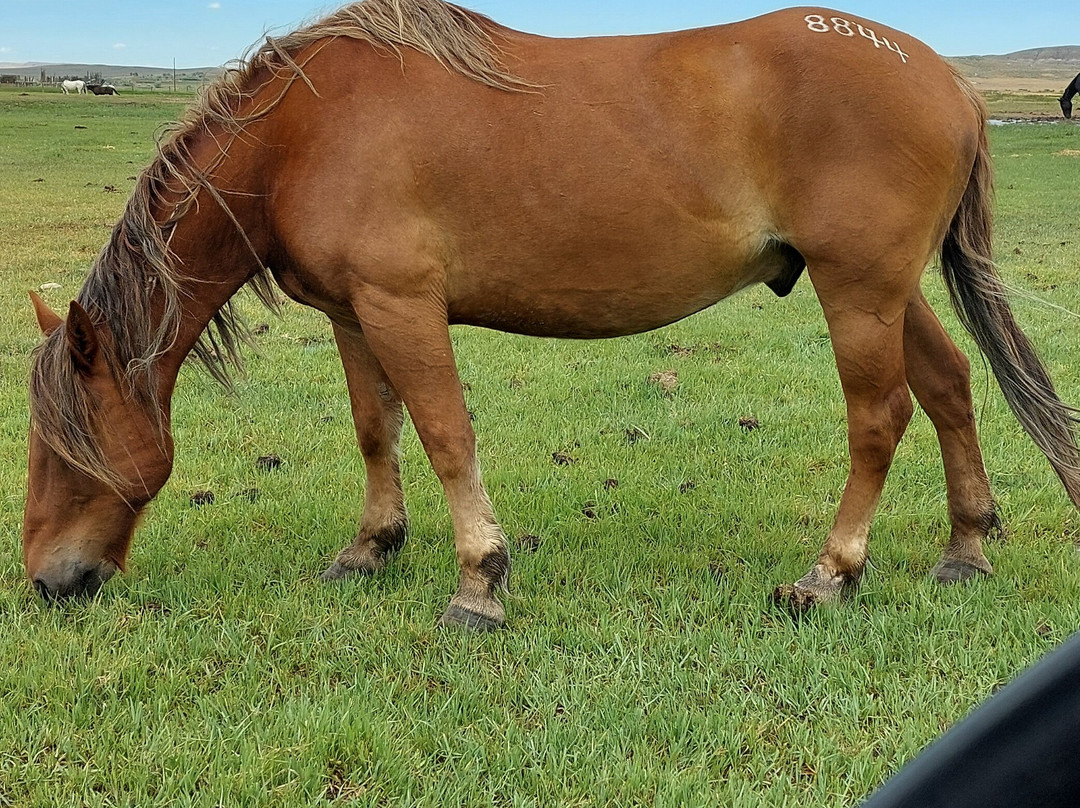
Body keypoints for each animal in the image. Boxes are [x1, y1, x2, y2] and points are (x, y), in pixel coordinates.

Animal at [24, 0, 1080, 630]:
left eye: (60, 449)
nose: (44, 578)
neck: (305, 132)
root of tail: (947, 80)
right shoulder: (354, 315)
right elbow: (376, 429)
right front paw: (371, 547)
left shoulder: (403, 304)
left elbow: (445, 433)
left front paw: (479, 580)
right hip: (886, 288)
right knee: (949, 388)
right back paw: (966, 548)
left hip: (858, 288)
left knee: (879, 417)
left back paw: (831, 571)